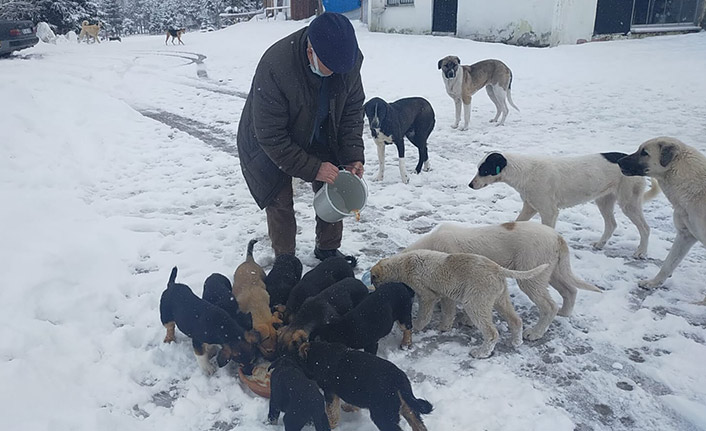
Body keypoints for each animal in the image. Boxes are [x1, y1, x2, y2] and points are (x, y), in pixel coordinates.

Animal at [296, 342, 428, 430]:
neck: (320, 353)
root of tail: (398, 378)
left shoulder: (329, 391)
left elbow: (331, 411)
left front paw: (331, 425)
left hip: (383, 414)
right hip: (407, 406)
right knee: (418, 424)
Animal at [372, 248, 548, 360]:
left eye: (374, 280)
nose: (373, 289)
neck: (402, 263)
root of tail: (497, 268)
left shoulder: (426, 293)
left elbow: (425, 312)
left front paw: (416, 325)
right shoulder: (446, 293)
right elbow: (448, 311)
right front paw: (445, 327)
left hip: (476, 300)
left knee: (491, 333)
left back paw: (480, 353)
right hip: (499, 297)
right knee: (515, 320)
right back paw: (516, 342)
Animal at [404, 223, 596, 340]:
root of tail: (558, 237)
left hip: (532, 274)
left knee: (549, 305)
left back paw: (535, 333)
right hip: (551, 270)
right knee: (570, 290)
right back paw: (565, 312)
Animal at [468, 150, 660, 258]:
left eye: (484, 170)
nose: (470, 185)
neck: (524, 172)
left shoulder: (549, 212)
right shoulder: (530, 207)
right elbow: (518, 223)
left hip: (629, 202)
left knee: (645, 228)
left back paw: (641, 252)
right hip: (604, 200)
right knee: (612, 224)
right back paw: (600, 244)